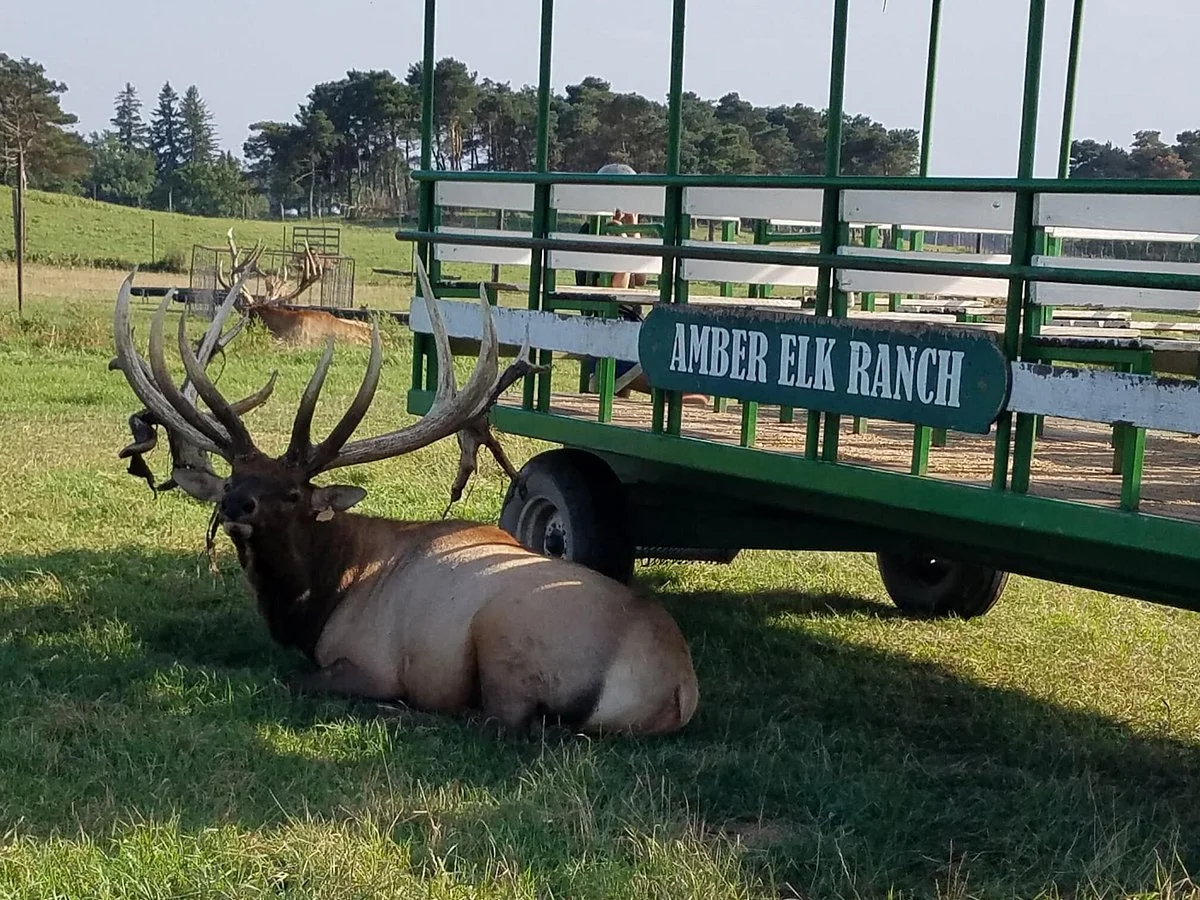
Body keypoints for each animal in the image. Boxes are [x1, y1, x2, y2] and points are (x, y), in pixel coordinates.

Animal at [109, 260, 700, 738]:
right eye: (232, 481)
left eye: (294, 492)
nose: (235, 508)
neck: (318, 595)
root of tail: (678, 686)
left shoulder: (365, 660)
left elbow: (291, 679)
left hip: (507, 638)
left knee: (502, 722)